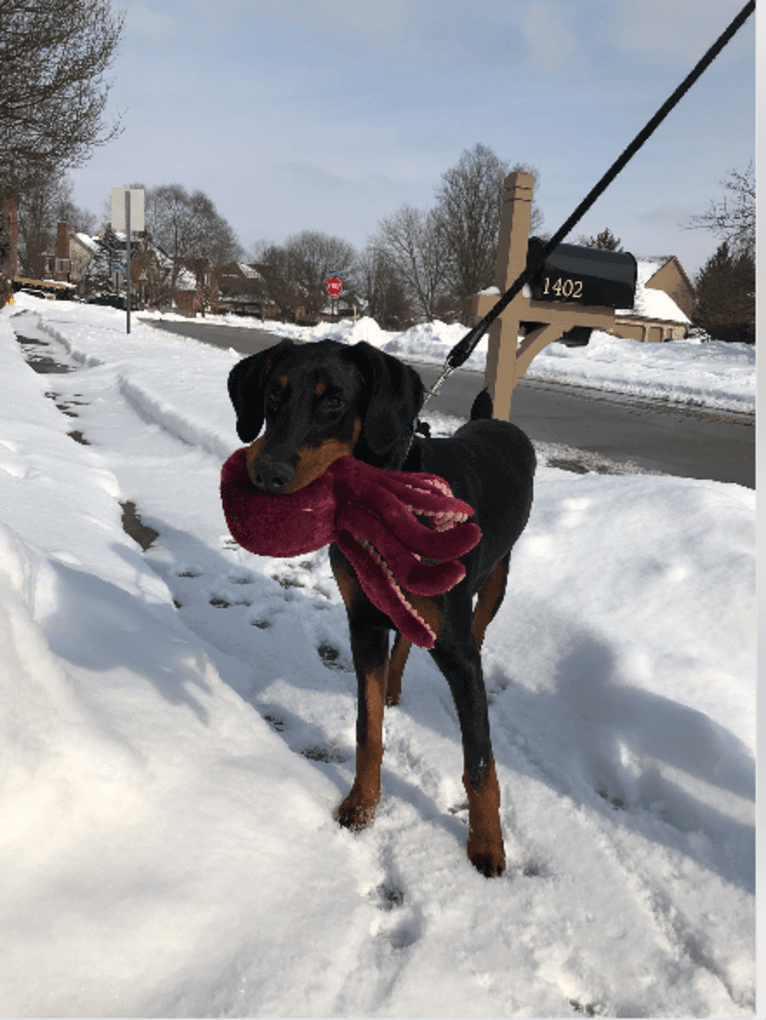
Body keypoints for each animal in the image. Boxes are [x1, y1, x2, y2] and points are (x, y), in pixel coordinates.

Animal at [227, 336, 534, 877]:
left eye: (334, 400)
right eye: (273, 393)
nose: (265, 473)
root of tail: (498, 423)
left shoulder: (454, 646)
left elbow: (478, 760)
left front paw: (487, 844)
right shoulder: (364, 622)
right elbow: (367, 730)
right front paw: (361, 805)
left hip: (496, 577)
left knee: (476, 630)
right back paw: (393, 686)